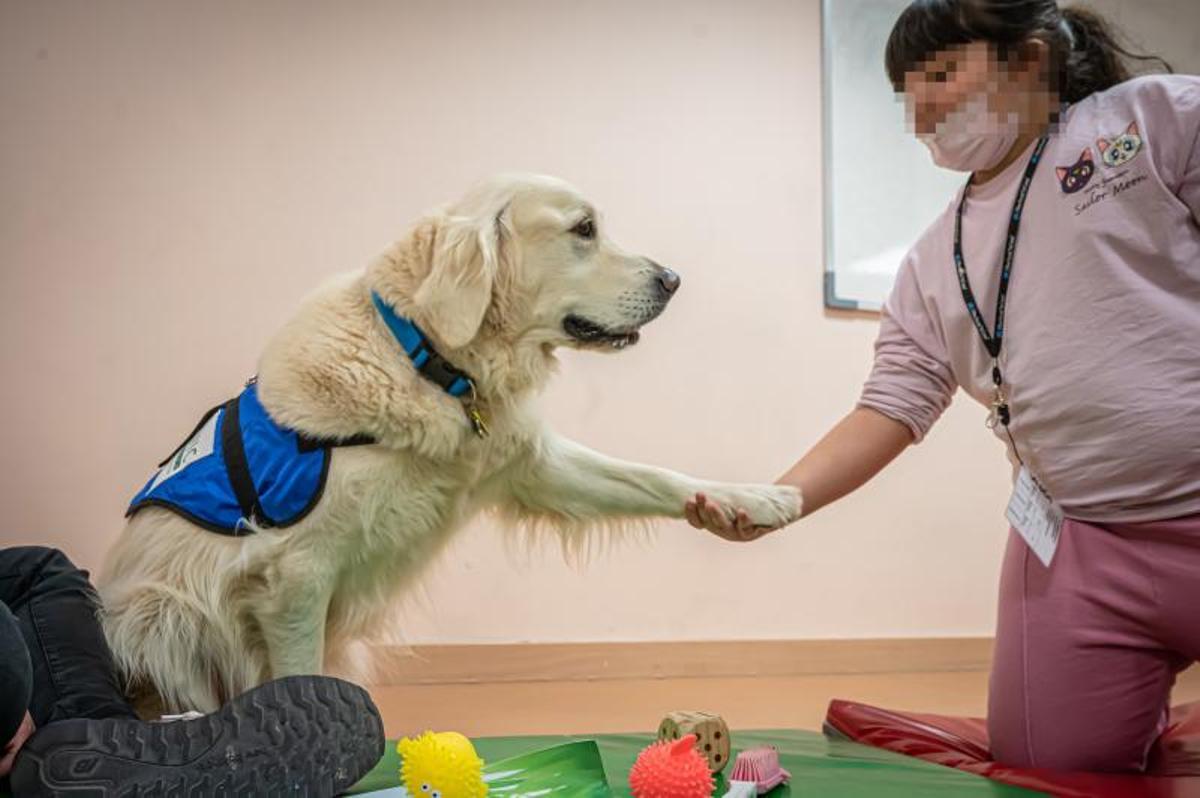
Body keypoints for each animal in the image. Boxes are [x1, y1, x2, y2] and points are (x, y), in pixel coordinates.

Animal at [98, 174, 801, 710]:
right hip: (159, 613)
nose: (673, 279)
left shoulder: (530, 464)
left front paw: (752, 499)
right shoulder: (294, 573)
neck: (433, 364)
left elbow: (654, 476)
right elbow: (301, 679)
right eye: (583, 230)